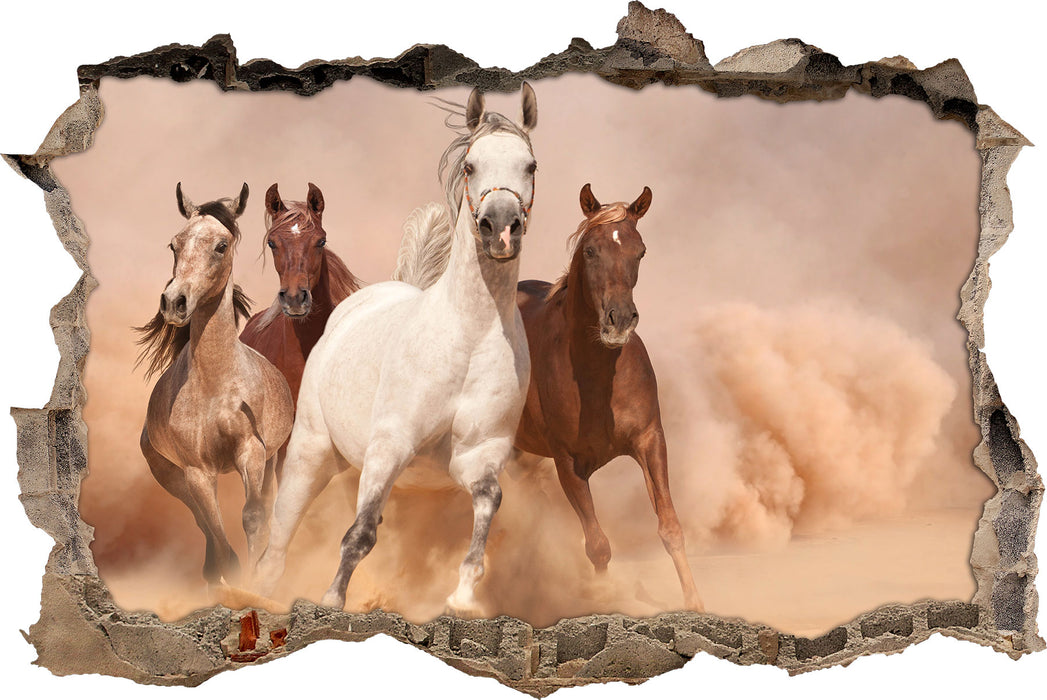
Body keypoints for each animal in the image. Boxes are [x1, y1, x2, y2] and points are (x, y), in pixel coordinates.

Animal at [136, 183, 294, 586]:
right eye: (174, 244)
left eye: (221, 245)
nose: (174, 302)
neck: (216, 387)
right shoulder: (196, 471)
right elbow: (221, 542)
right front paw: (236, 582)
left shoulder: (251, 452)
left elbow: (253, 517)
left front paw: (257, 581)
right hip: (172, 477)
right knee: (204, 529)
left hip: (270, 461)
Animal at [254, 84, 539, 616]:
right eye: (471, 165)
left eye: (530, 165)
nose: (501, 228)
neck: (468, 336)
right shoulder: (390, 445)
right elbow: (359, 534)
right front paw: (331, 602)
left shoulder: (477, 455)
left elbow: (488, 502)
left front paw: (463, 595)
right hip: (311, 451)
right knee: (277, 542)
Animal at [513, 183, 703, 611]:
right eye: (590, 250)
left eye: (640, 251)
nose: (619, 320)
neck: (597, 379)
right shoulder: (567, 464)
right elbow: (598, 546)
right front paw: (601, 602)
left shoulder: (650, 440)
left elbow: (670, 527)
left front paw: (697, 604)